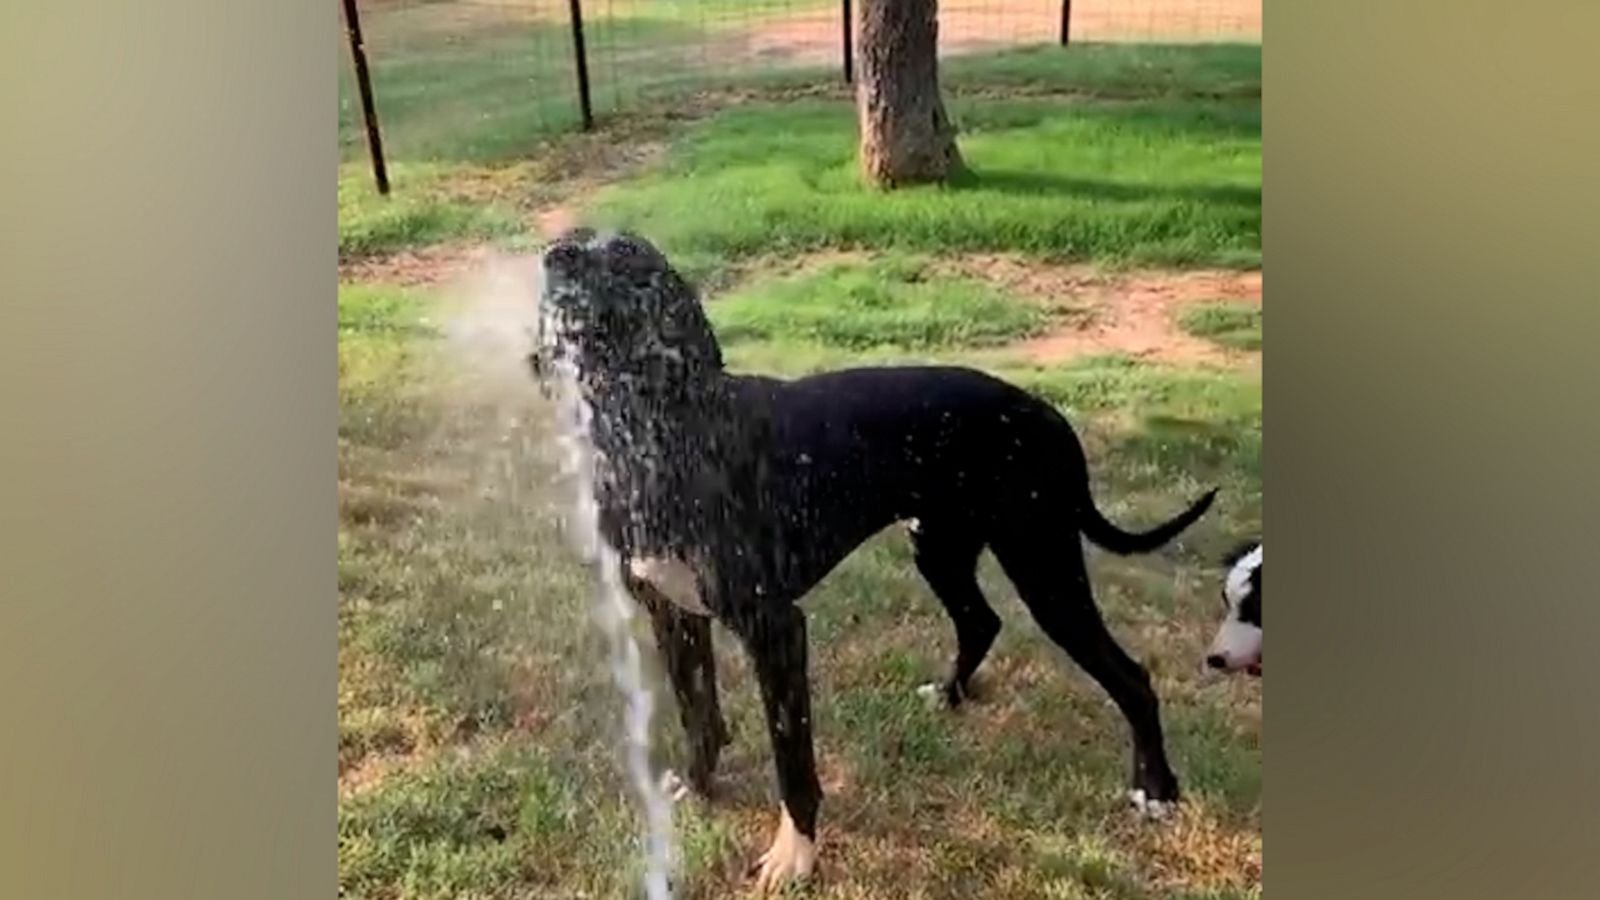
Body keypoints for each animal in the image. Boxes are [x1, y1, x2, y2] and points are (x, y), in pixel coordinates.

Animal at [531, 230, 1216, 890]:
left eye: (625, 252)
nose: (554, 255)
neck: (661, 429)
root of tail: (1049, 415)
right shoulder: (673, 614)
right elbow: (701, 714)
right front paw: (696, 790)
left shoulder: (774, 628)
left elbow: (792, 757)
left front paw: (795, 853)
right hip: (941, 549)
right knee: (981, 621)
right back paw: (949, 693)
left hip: (1043, 565)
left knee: (1130, 675)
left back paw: (1156, 790)